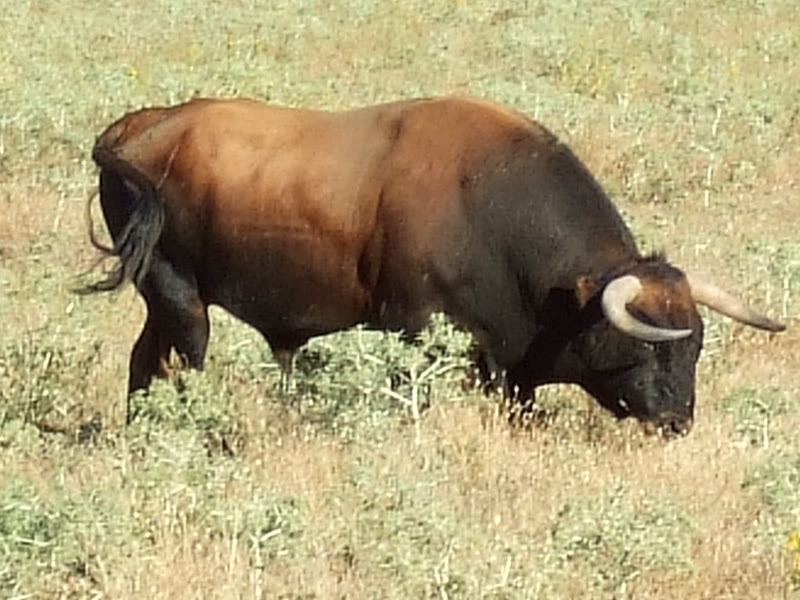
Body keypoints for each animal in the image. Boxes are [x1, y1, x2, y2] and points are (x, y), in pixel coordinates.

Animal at [82, 95, 785, 434]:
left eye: (694, 346)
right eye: (643, 345)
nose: (676, 421)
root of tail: (134, 130)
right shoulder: (414, 330)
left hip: (163, 303)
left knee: (144, 364)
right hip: (183, 301)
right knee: (181, 366)